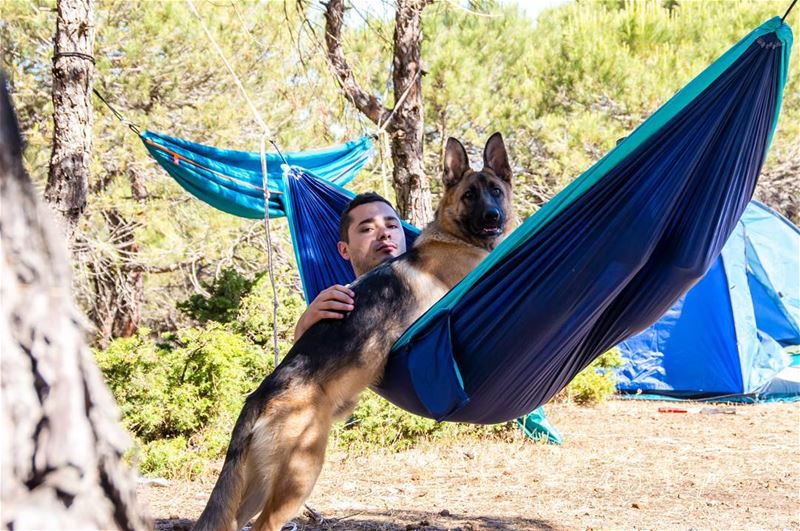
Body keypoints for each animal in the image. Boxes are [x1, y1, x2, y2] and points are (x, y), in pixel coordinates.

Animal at [197, 133, 516, 531]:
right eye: (470, 195)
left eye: (496, 191)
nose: (493, 218)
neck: (452, 235)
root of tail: (258, 396)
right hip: (299, 475)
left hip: (252, 489)